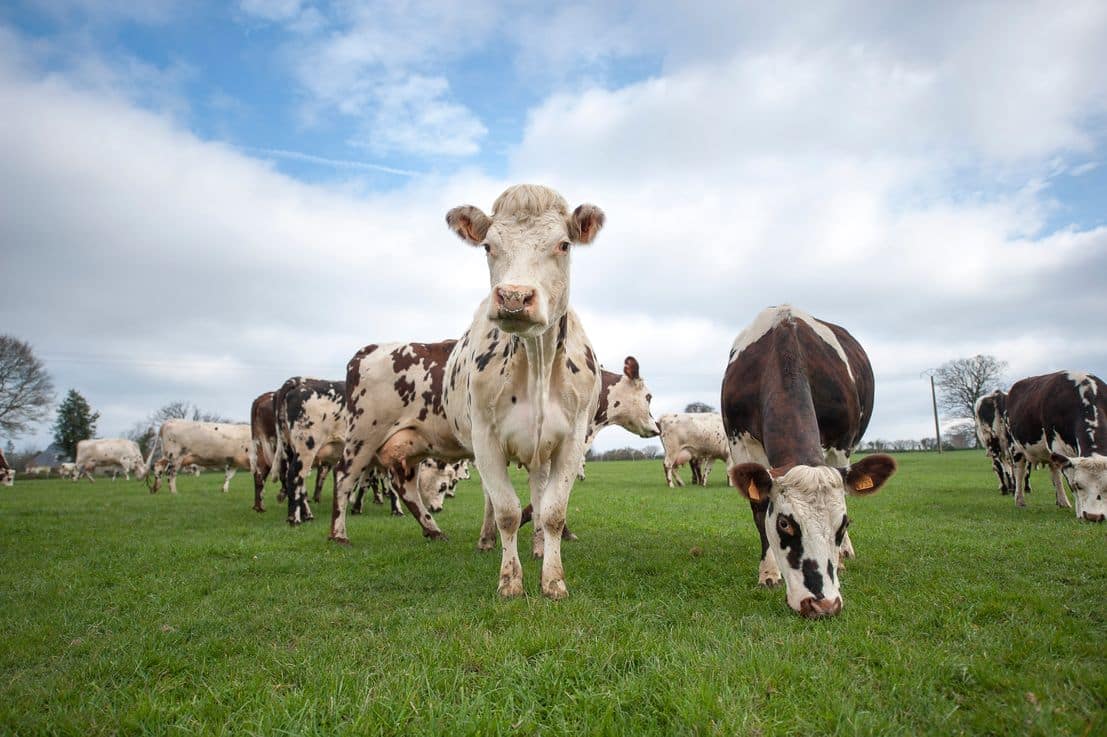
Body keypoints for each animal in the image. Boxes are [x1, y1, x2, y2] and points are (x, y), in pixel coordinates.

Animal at [717, 303, 898, 615]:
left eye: (843, 523)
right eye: (784, 524)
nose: (823, 604)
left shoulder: (841, 444)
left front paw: (839, 557)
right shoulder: (740, 441)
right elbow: (758, 507)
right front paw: (769, 572)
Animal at [1009, 369, 1102, 520]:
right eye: (1078, 485)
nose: (1093, 516)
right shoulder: (1059, 448)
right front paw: (1079, 513)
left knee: (1055, 472)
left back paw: (1062, 502)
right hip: (1016, 447)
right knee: (1020, 472)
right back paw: (1019, 500)